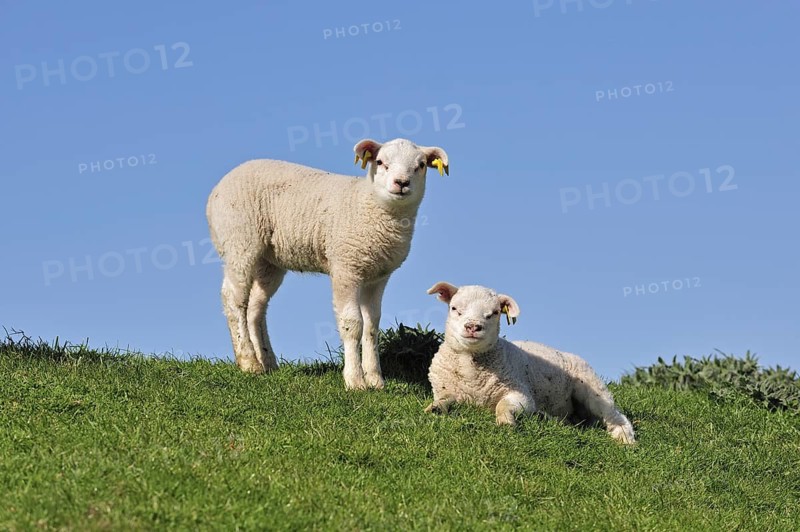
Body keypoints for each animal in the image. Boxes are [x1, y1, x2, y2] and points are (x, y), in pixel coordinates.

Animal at [206, 138, 449, 390]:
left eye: (421, 165)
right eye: (381, 162)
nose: (401, 183)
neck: (369, 205)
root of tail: (217, 190)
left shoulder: (377, 277)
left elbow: (372, 326)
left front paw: (375, 380)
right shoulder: (346, 268)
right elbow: (352, 324)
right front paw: (355, 380)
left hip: (268, 260)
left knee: (256, 306)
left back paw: (267, 361)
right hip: (239, 240)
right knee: (233, 298)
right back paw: (248, 361)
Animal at [424, 282, 636, 444]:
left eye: (494, 313)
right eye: (454, 308)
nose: (473, 327)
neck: (471, 369)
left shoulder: (521, 394)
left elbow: (502, 405)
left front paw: (506, 423)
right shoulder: (445, 389)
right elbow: (444, 400)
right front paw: (434, 408)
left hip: (592, 387)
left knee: (615, 415)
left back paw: (625, 439)